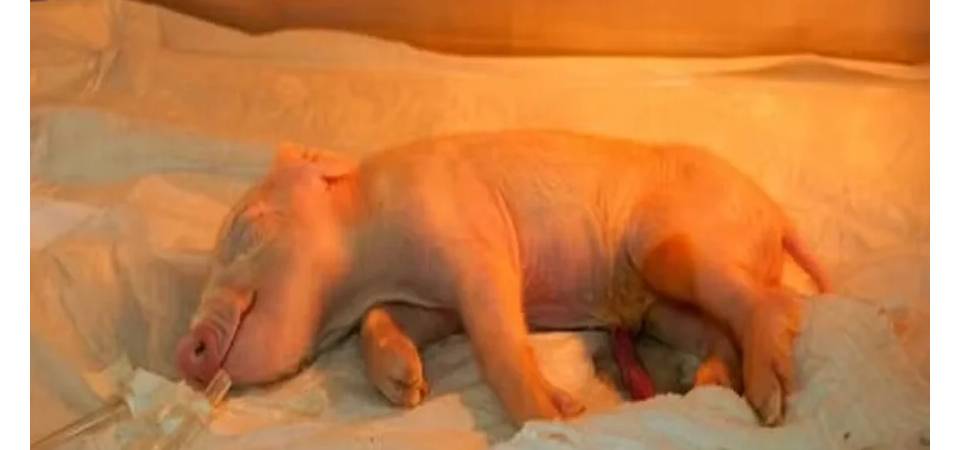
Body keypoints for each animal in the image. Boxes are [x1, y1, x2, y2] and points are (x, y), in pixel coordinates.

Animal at [176, 130, 830, 427]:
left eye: (248, 227)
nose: (185, 350)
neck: (372, 264)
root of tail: (776, 216)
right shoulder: (430, 301)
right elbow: (381, 322)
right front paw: (407, 388)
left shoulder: (476, 246)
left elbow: (497, 340)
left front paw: (560, 417)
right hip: (661, 307)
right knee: (719, 331)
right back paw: (709, 385)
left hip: (669, 246)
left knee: (775, 303)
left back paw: (769, 405)